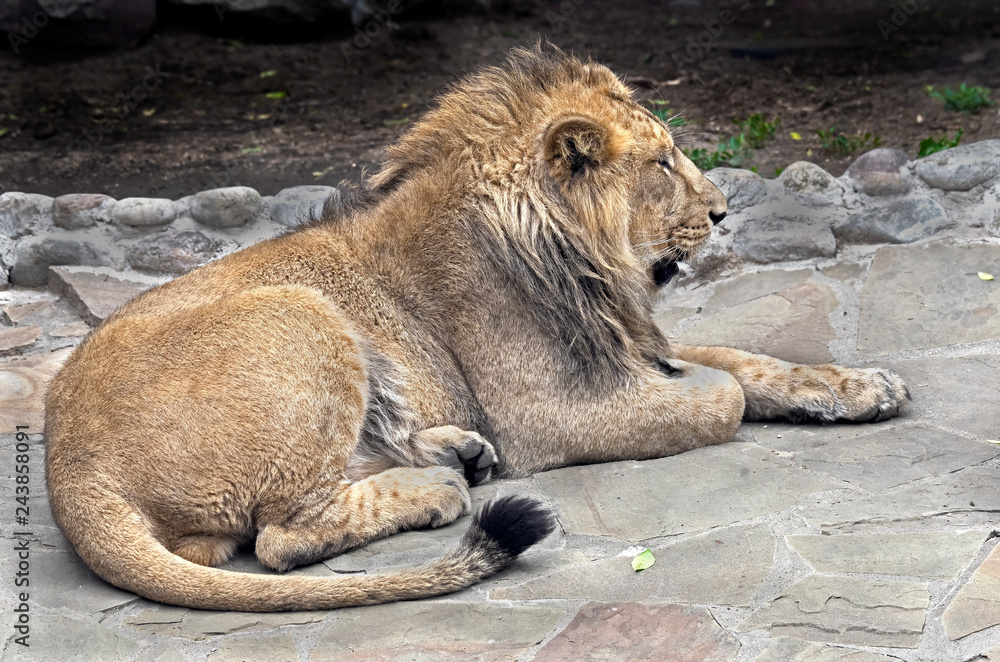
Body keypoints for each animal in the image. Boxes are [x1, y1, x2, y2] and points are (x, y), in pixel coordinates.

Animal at [44, 46, 909, 613]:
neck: (584, 266)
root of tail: (69, 469)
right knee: (279, 537)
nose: (725, 212)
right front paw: (712, 386)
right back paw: (439, 485)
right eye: (663, 164)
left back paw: (452, 451)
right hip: (303, 312)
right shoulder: (551, 415)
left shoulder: (623, 347)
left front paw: (860, 386)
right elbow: (721, 392)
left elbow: (749, 360)